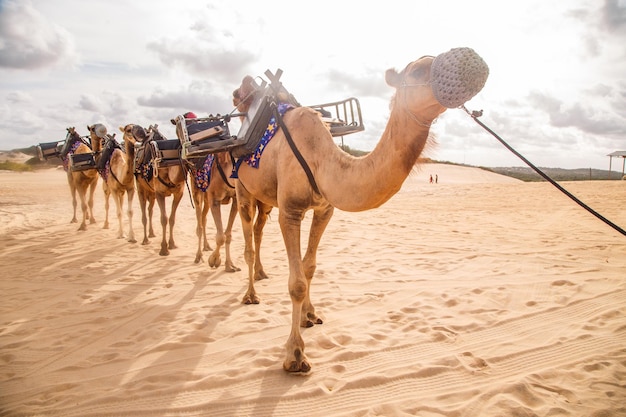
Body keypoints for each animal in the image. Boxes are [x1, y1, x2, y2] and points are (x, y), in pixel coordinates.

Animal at [118, 123, 184, 254]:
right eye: (127, 130)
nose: (136, 140)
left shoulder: (179, 193)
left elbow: (172, 219)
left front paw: (172, 244)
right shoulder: (159, 193)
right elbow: (164, 219)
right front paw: (163, 249)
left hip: (151, 192)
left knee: (149, 210)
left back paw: (151, 233)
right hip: (141, 188)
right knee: (144, 213)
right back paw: (145, 240)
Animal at [229, 48, 488, 370]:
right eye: (418, 71)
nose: (470, 58)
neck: (321, 158)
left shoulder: (325, 209)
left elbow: (309, 267)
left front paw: (309, 315)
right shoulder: (290, 210)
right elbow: (296, 282)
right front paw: (295, 355)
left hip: (265, 197)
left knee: (259, 230)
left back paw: (262, 275)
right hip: (242, 188)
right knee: (248, 241)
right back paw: (250, 295)